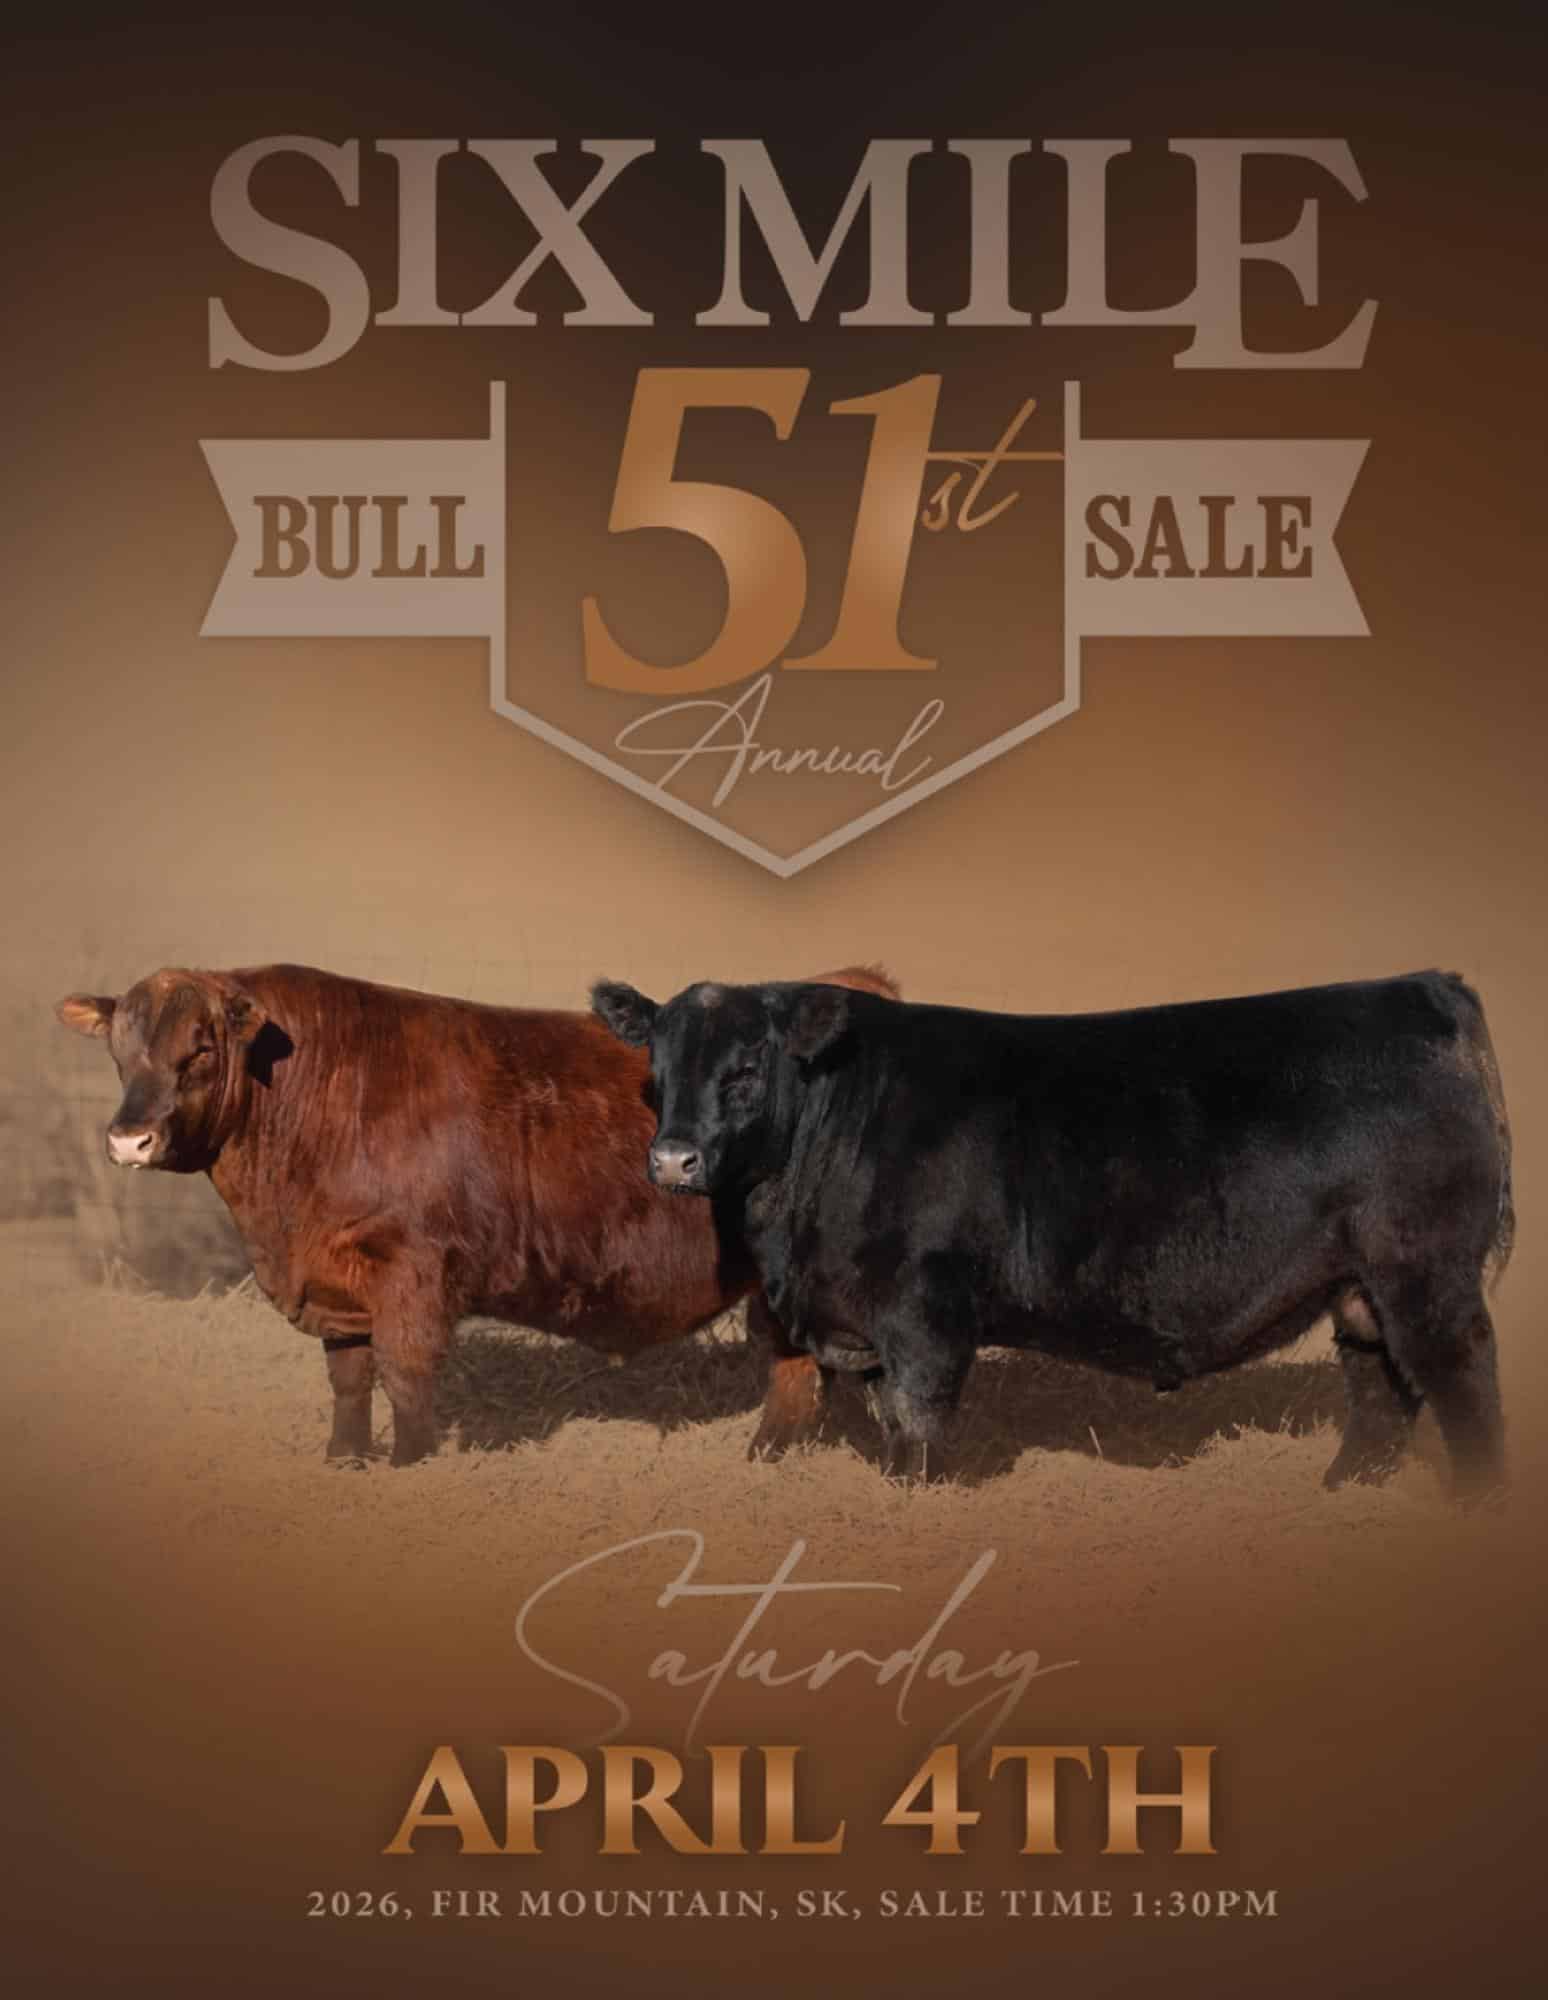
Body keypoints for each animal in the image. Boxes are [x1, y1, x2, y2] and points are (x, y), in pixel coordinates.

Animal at [55, 961, 896, 1465]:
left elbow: (405, 1375)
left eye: (200, 1048)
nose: (128, 1139)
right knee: (811, 1364)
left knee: (813, 1364)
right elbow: (350, 1379)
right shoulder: (335, 1281)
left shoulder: (410, 1271)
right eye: (119, 1052)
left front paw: (410, 1467)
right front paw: (344, 1462)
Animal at [592, 971, 1513, 1500]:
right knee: (1379, 1391)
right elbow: (886, 1423)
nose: (672, 1159)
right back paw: (1342, 1497)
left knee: (1460, 1382)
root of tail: (1421, 987)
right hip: (1359, 1289)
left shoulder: (923, 1316)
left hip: (1427, 1277)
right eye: (657, 1072)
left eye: (746, 1071)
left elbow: (917, 1424)